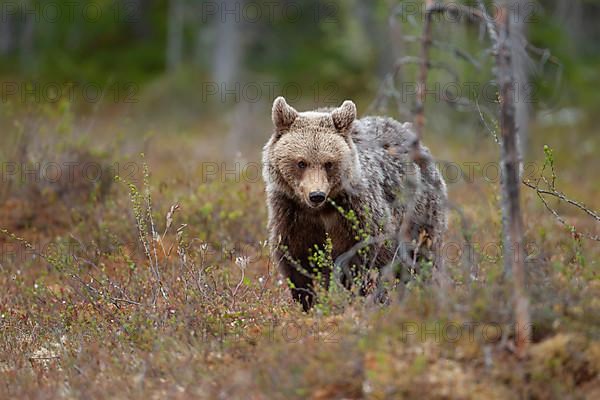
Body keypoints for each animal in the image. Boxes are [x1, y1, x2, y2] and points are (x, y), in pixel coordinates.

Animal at [262, 97, 446, 310]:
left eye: (328, 163)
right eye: (301, 162)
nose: (316, 195)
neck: (323, 210)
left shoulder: (358, 212)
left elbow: (371, 257)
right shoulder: (291, 214)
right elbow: (296, 260)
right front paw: (308, 301)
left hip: (420, 212)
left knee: (422, 256)